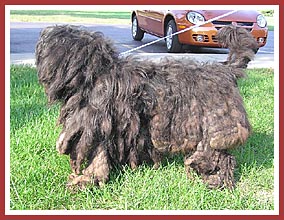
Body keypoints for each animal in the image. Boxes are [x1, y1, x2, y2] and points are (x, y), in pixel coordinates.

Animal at [35, 24, 251, 189]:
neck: (95, 75)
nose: (42, 36)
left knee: (220, 157)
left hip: (216, 127)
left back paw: (215, 181)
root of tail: (227, 70)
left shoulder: (96, 126)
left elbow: (97, 157)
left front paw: (87, 180)